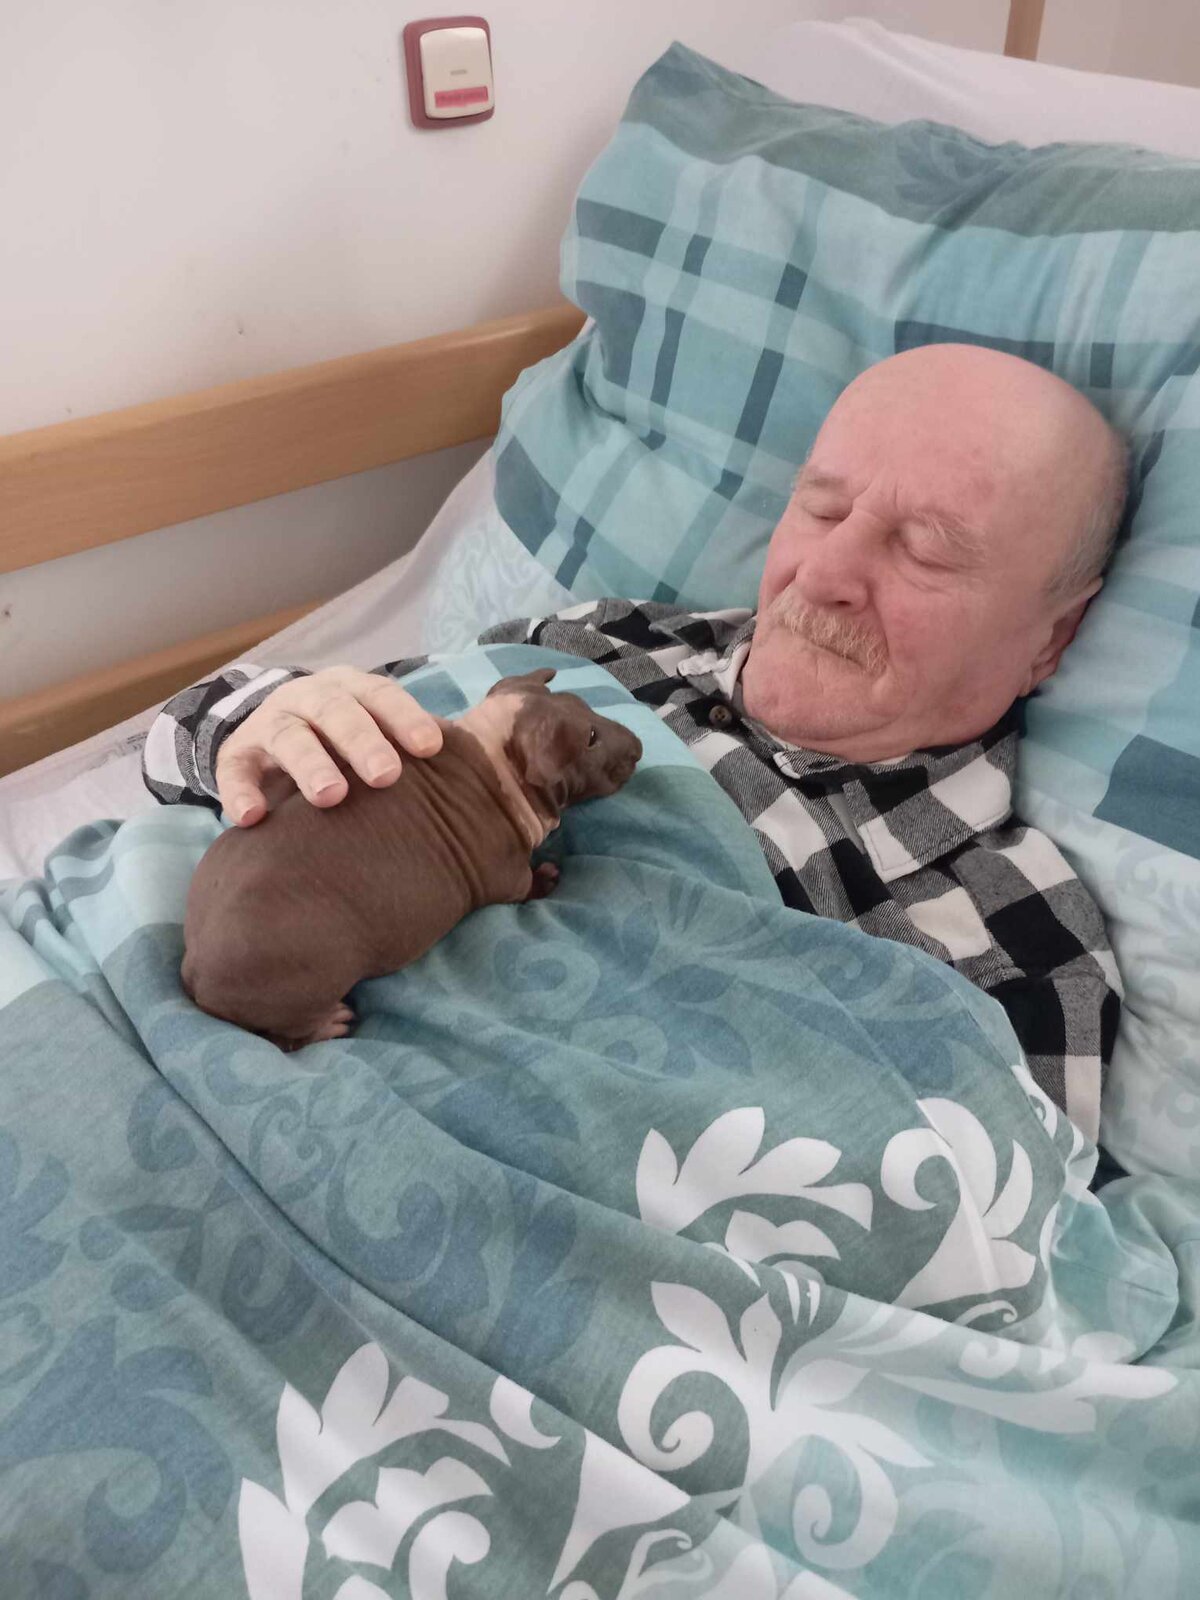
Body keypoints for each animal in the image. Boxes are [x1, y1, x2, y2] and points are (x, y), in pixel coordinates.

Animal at [181, 669, 642, 1049]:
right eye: (590, 739)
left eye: (583, 707)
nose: (638, 746)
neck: (499, 754)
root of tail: (192, 967)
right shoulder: (504, 870)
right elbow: (521, 886)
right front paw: (545, 878)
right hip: (302, 981)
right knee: (290, 1031)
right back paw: (328, 1024)